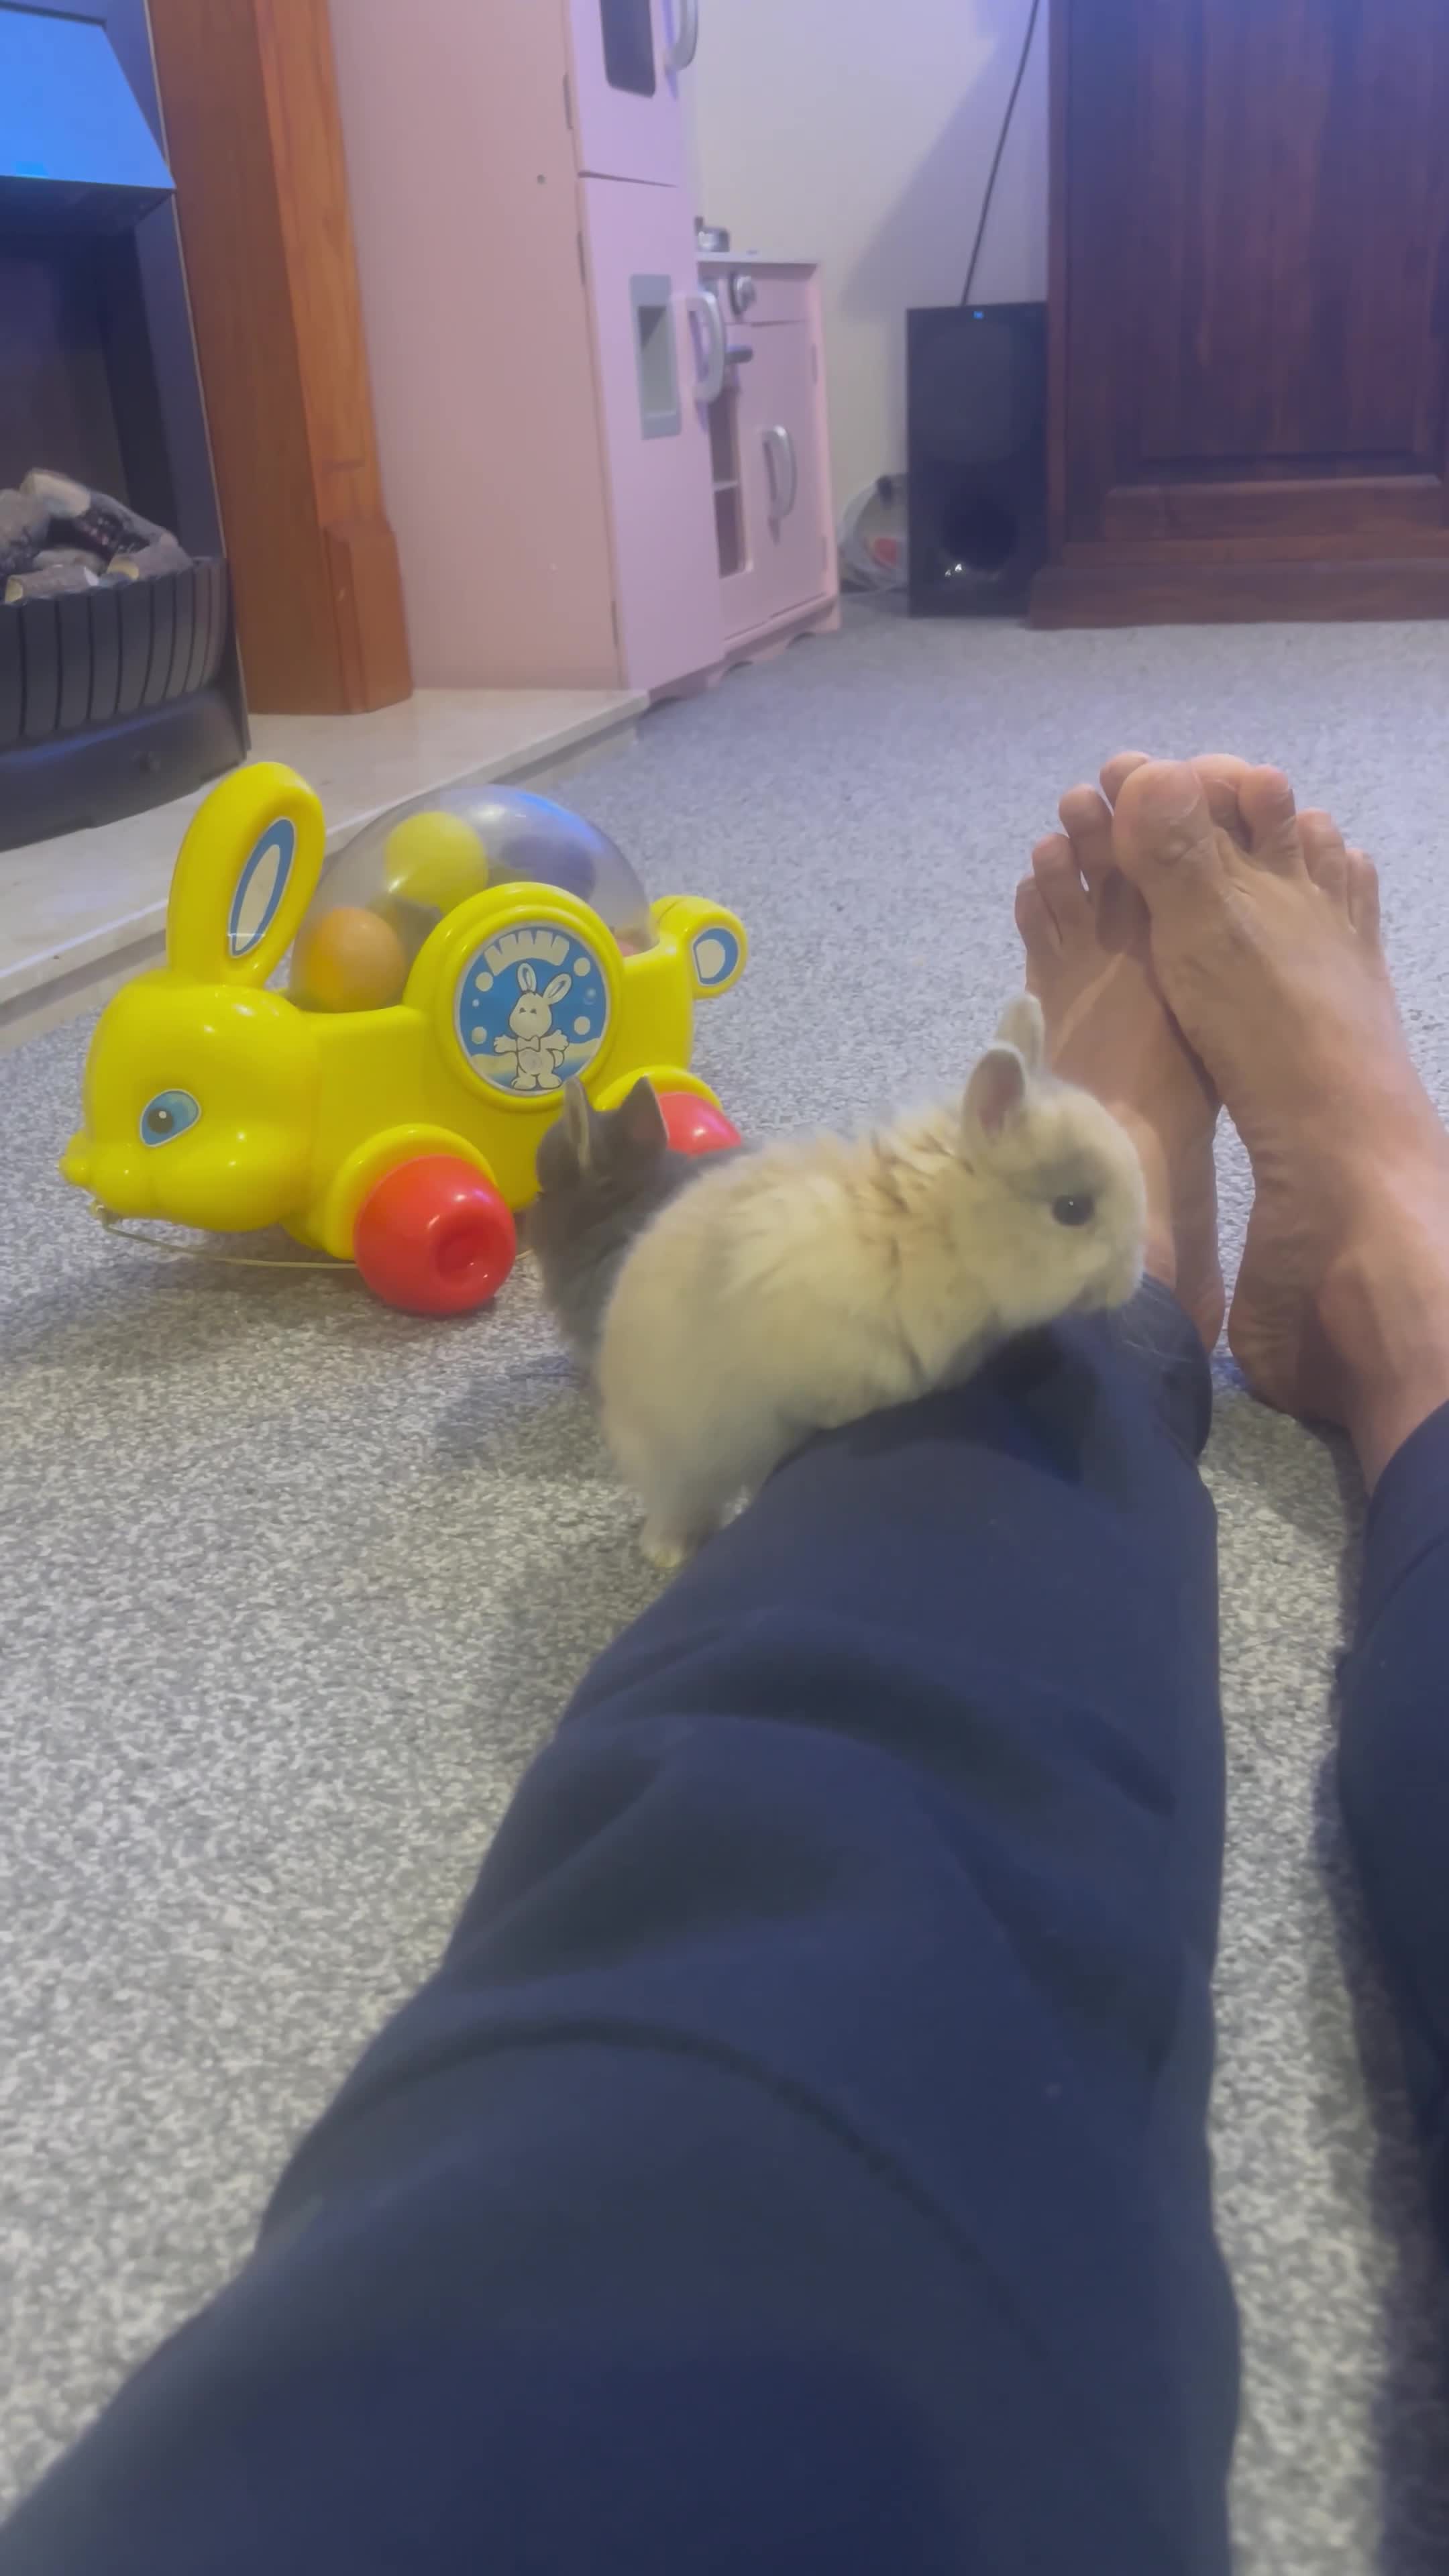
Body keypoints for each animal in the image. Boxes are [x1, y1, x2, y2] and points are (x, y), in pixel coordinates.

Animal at [496, 963, 572, 1091]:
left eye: (534, 1011)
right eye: (521, 1009)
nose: (524, 1019)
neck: (529, 1040)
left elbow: (548, 1042)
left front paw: (559, 1040)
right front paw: (501, 1043)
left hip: (546, 1067)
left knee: (545, 1075)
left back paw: (550, 1082)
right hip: (522, 1070)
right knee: (527, 1077)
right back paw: (522, 1083)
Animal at [595, 995, 1147, 1569]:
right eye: (1072, 1210)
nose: (1130, 1281)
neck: (941, 1231)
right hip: (685, 1463)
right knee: (678, 1507)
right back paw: (669, 1553)